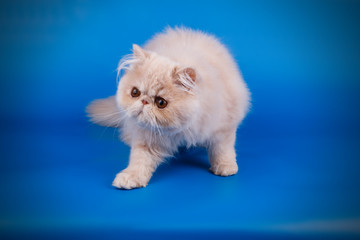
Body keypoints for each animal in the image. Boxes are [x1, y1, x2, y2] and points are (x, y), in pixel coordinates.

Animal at [87, 26, 250, 189]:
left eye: (161, 102)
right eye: (135, 92)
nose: (144, 101)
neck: (180, 129)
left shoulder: (224, 126)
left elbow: (222, 150)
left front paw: (225, 167)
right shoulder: (147, 139)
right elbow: (139, 161)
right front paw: (130, 178)